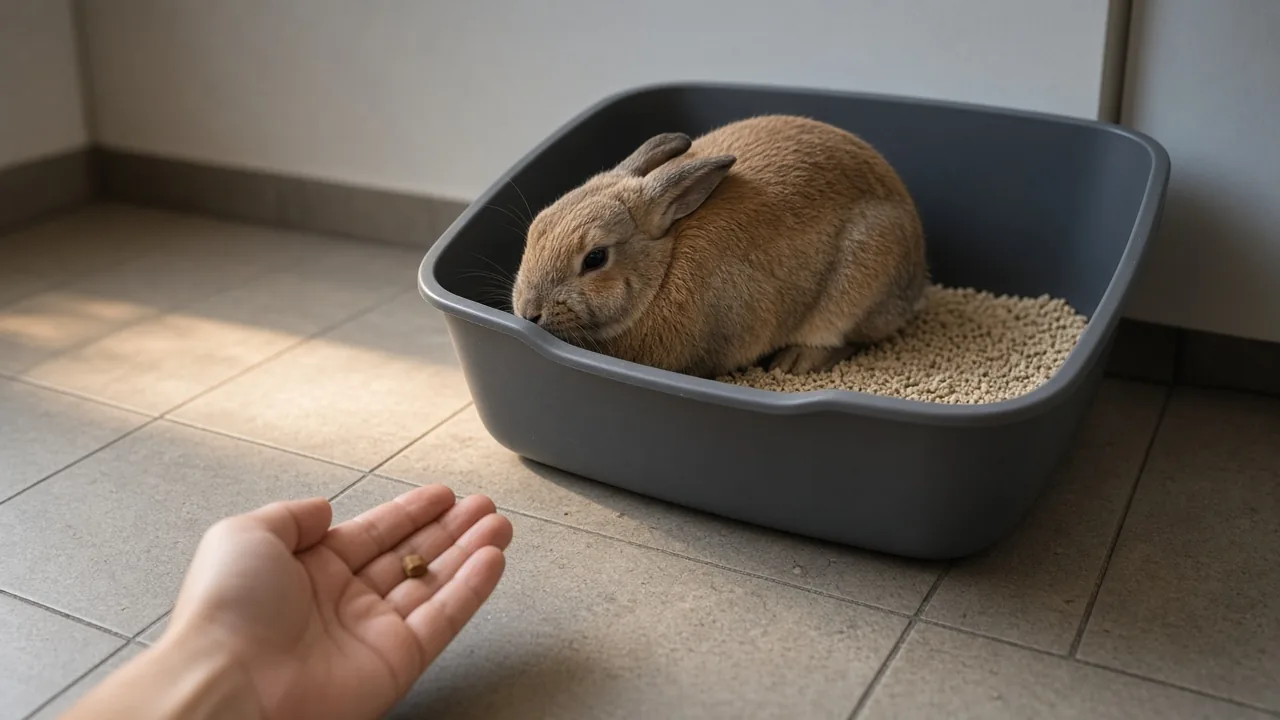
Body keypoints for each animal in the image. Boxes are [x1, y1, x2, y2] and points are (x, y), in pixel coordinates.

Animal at [510, 114, 928, 378]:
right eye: (538, 227)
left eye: (595, 258)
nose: (528, 312)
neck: (662, 270)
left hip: (858, 286)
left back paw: (795, 362)